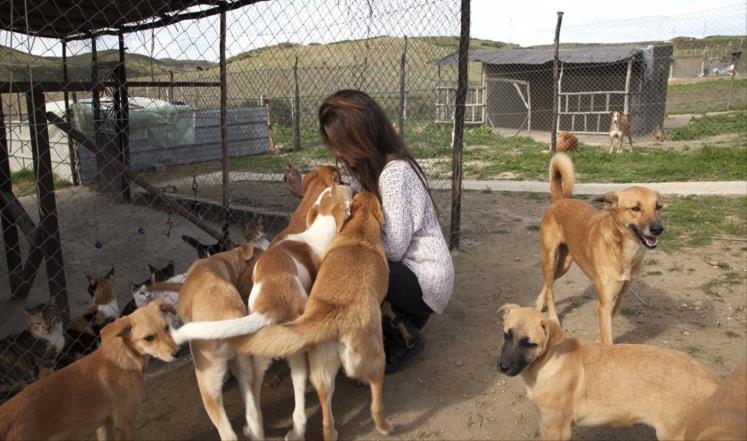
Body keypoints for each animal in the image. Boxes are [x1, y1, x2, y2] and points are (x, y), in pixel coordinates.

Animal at [0, 300, 180, 440]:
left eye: (166, 327)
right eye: (148, 338)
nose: (177, 353)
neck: (126, 358)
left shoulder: (104, 423)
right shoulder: (125, 422)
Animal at [174, 166, 352, 440]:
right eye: (340, 179)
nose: (352, 184)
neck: (317, 228)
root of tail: (273, 303)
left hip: (255, 356)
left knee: (253, 396)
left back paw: (254, 426)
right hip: (292, 355)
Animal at [234, 192, 394, 440]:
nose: (353, 187)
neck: (359, 232)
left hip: (308, 366)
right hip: (375, 360)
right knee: (375, 401)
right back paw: (384, 425)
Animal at [496, 304, 720, 440]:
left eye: (530, 344)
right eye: (506, 335)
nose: (502, 367)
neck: (549, 362)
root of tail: (712, 380)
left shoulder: (556, 428)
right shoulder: (546, 422)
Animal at [536, 154, 668, 344]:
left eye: (658, 207)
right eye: (635, 208)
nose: (658, 229)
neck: (625, 252)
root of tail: (561, 199)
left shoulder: (619, 296)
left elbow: (606, 327)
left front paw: (598, 340)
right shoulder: (605, 301)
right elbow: (608, 336)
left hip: (564, 264)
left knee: (549, 282)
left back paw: (539, 303)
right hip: (549, 257)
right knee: (551, 291)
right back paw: (553, 318)